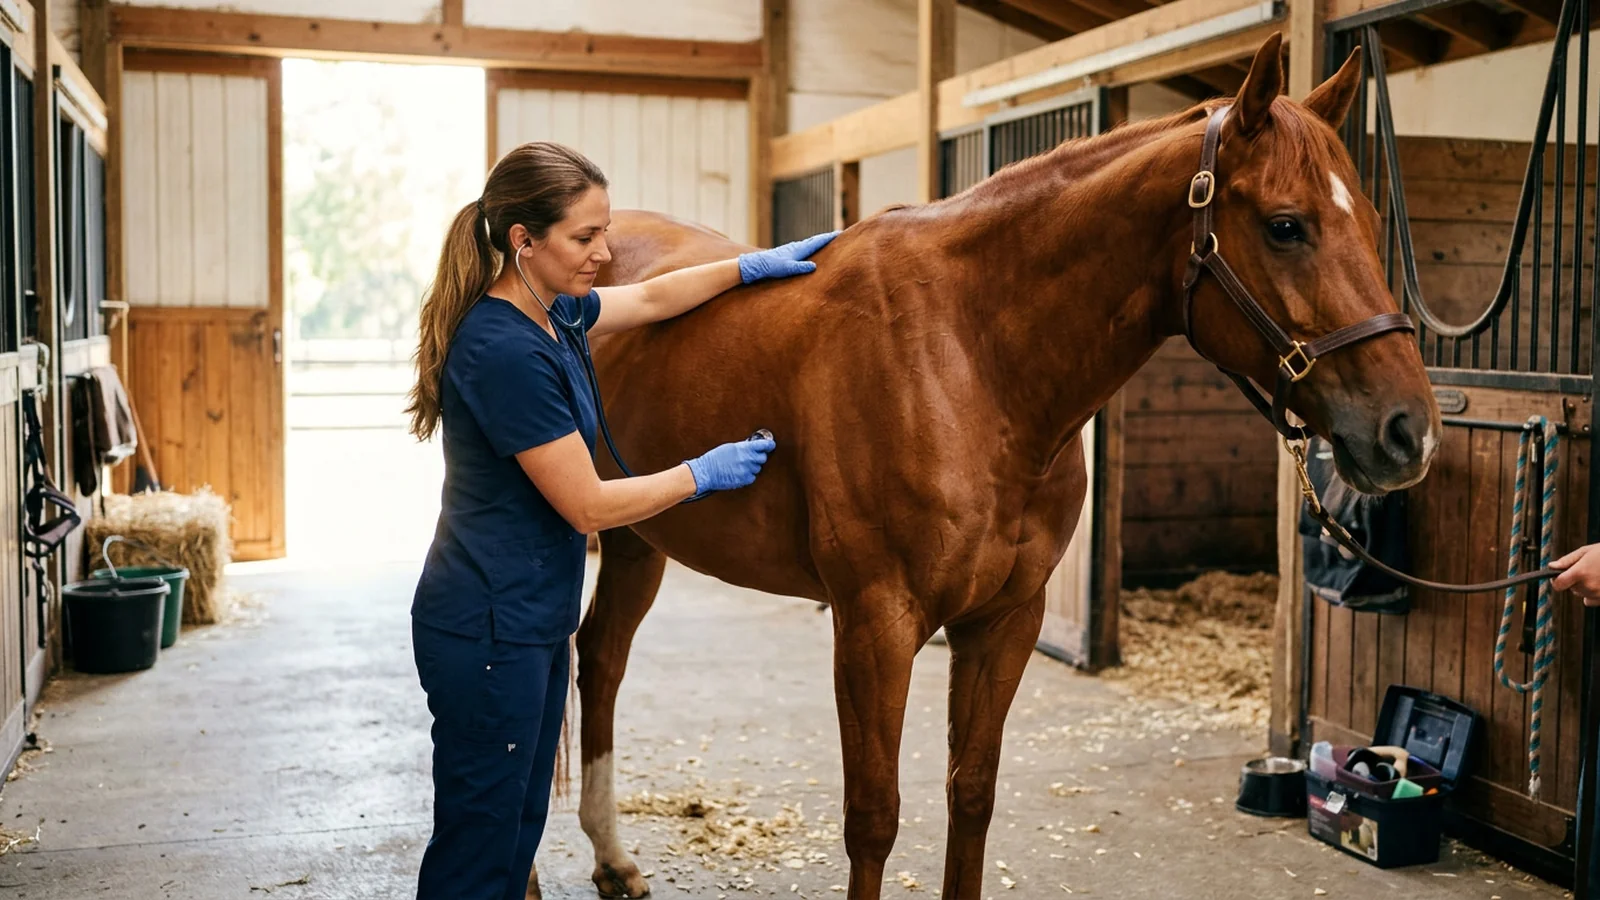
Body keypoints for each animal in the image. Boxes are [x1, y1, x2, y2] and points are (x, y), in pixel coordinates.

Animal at [541, 33, 1440, 900]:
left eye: (1370, 218)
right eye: (1287, 225)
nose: (1411, 433)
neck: (971, 360)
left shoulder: (1007, 621)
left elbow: (970, 794)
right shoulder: (874, 624)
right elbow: (874, 816)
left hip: (639, 537)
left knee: (601, 660)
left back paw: (612, 860)